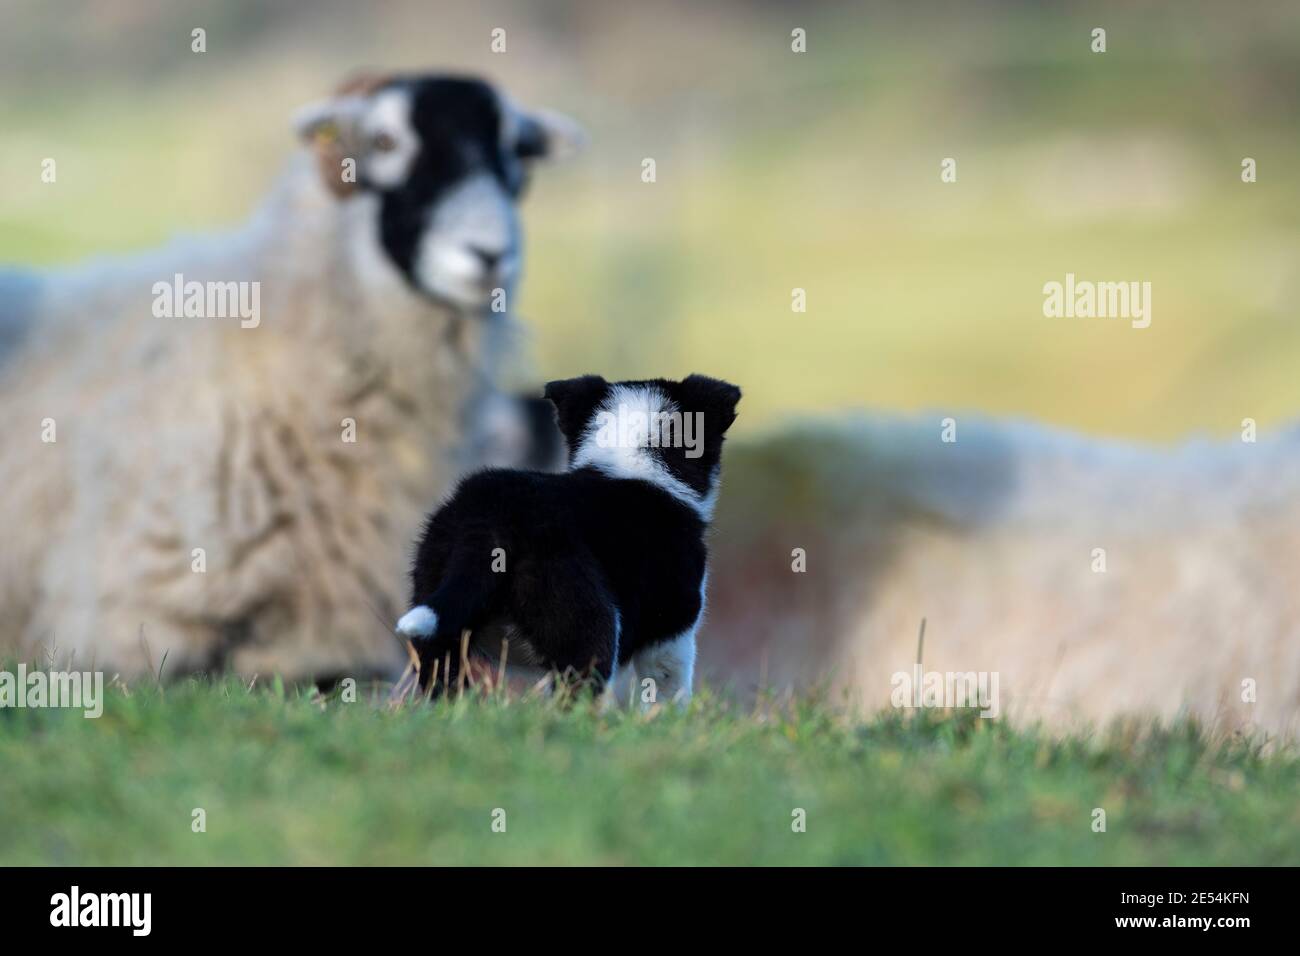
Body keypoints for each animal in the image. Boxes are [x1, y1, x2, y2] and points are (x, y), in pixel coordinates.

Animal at [392, 374, 743, 702]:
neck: (633, 458)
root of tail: (491, 518)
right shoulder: (674, 628)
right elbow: (667, 690)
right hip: (587, 619)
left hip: (439, 611)